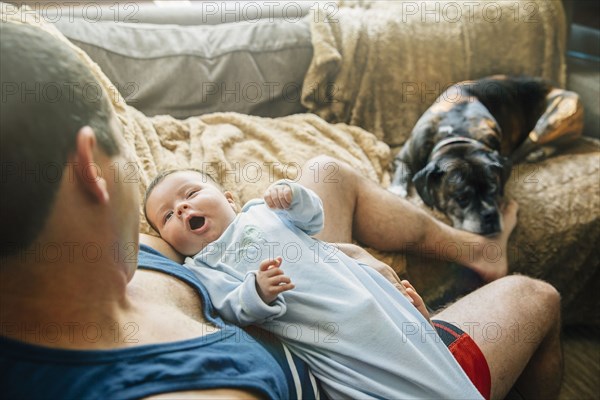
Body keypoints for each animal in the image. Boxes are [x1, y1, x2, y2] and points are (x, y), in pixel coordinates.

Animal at [390, 75, 580, 234]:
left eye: (494, 190)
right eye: (462, 197)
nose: (490, 215)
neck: (454, 136)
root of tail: (556, 87)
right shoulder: (405, 154)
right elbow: (402, 170)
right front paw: (397, 191)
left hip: (552, 119)